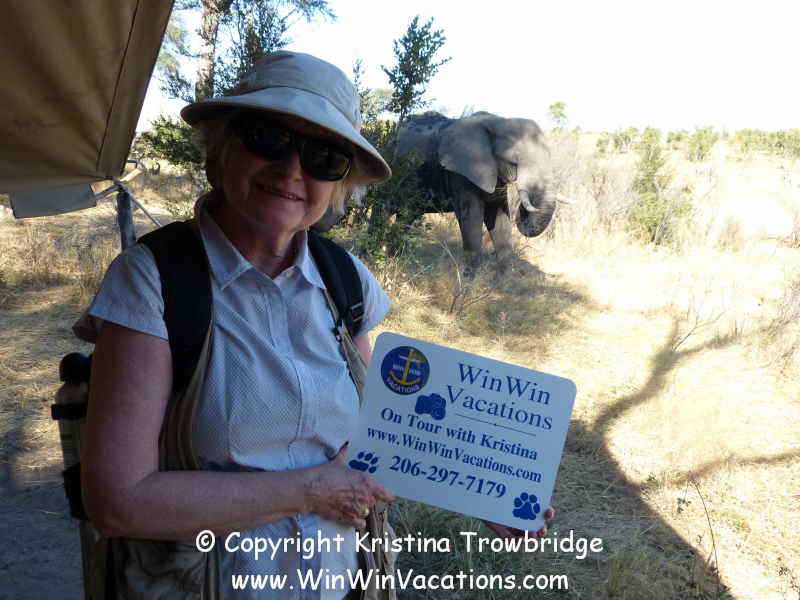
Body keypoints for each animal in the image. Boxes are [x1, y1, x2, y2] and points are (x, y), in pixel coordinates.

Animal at [391, 111, 573, 274]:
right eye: (515, 160)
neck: (499, 122)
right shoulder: (459, 172)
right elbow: (471, 219)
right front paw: (469, 284)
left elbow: (499, 220)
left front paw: (504, 282)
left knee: (405, 218)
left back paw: (397, 261)